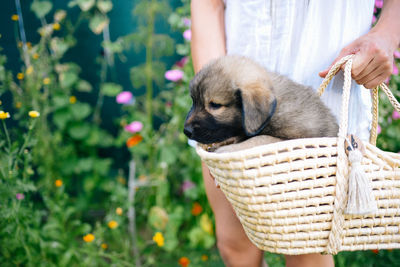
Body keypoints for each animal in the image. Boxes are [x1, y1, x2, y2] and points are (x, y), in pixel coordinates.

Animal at [184, 56, 338, 153]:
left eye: (215, 105)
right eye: (193, 101)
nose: (186, 131)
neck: (276, 109)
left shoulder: (296, 139)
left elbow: (260, 138)